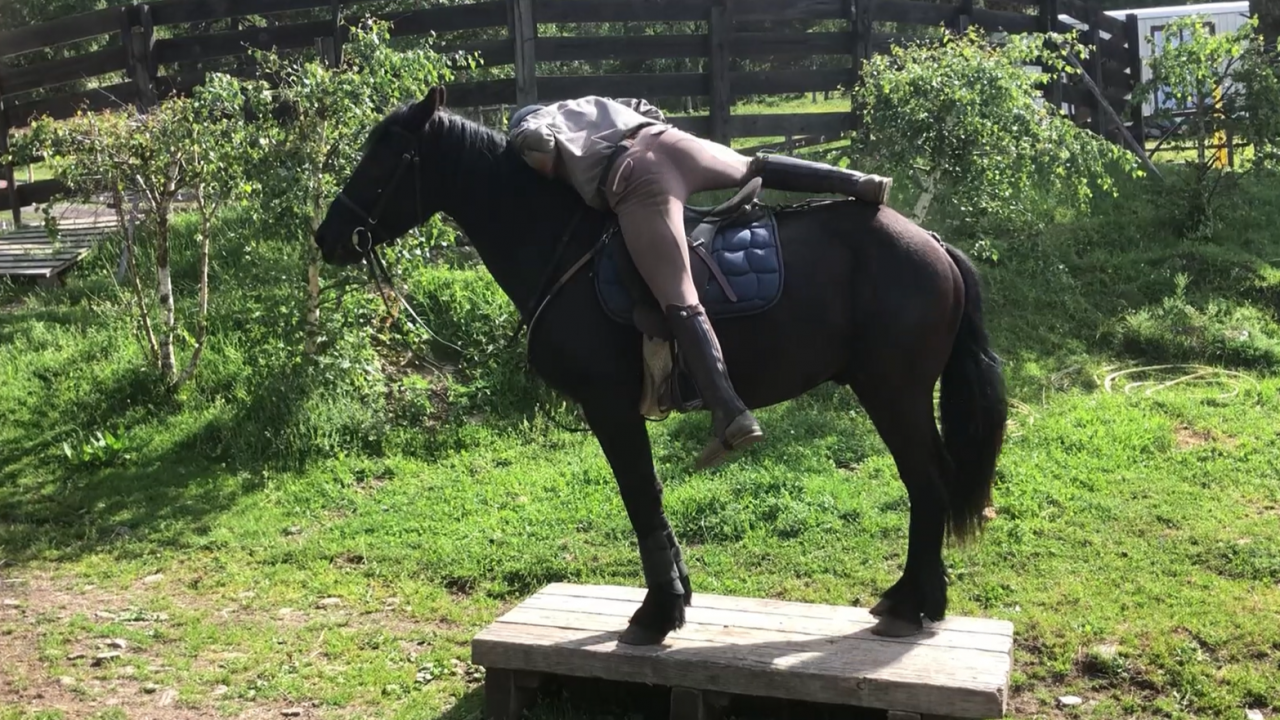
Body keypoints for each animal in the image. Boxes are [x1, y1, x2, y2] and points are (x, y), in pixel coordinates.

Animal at [313, 86, 1008, 643]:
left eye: (383, 157)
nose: (327, 237)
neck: (562, 244)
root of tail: (935, 245)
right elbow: (646, 499)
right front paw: (674, 598)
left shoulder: (609, 407)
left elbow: (640, 496)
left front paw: (657, 611)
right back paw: (915, 599)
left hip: (893, 392)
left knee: (928, 482)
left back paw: (915, 604)